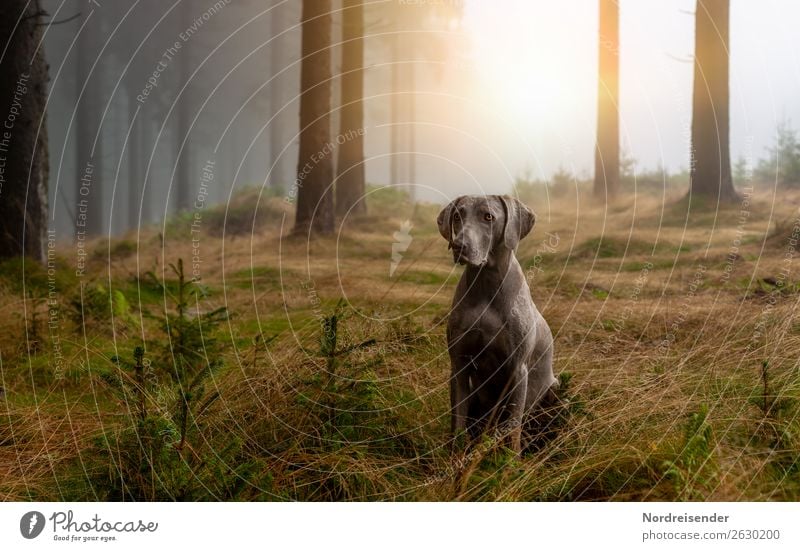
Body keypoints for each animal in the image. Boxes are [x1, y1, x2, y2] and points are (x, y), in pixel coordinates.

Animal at [438, 194, 556, 452]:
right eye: (457, 216)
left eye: (488, 217)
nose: (459, 245)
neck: (486, 283)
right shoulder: (459, 366)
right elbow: (457, 422)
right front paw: (454, 457)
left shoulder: (517, 370)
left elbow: (513, 428)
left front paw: (511, 461)